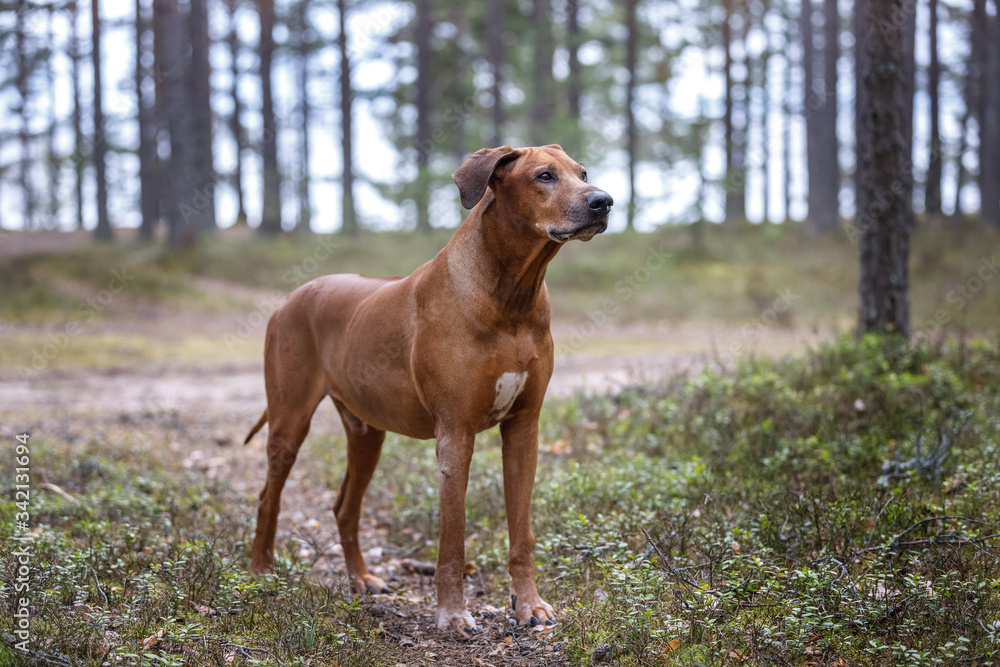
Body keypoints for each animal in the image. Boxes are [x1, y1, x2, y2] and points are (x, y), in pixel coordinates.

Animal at [246, 144, 612, 636]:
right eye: (545, 176)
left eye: (583, 173)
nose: (604, 202)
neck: (511, 296)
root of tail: (290, 298)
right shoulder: (455, 435)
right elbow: (452, 539)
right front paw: (453, 613)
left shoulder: (524, 429)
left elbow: (522, 533)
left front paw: (529, 605)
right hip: (289, 420)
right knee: (269, 496)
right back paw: (261, 571)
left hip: (367, 432)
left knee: (345, 507)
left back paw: (361, 578)